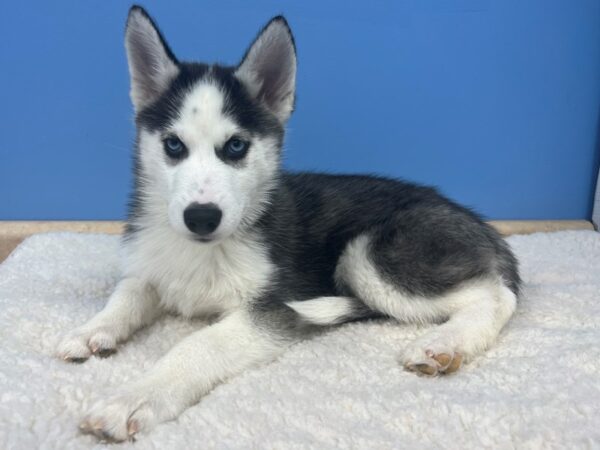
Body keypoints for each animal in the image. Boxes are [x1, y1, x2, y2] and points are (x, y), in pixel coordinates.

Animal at [58, 5, 524, 442]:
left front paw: (134, 397)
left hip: (368, 255)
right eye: (173, 145)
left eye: (236, 146)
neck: (200, 251)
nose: (201, 217)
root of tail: (478, 223)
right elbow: (127, 296)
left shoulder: (271, 309)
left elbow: (199, 343)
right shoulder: (147, 270)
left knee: (497, 296)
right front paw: (92, 330)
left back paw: (444, 343)